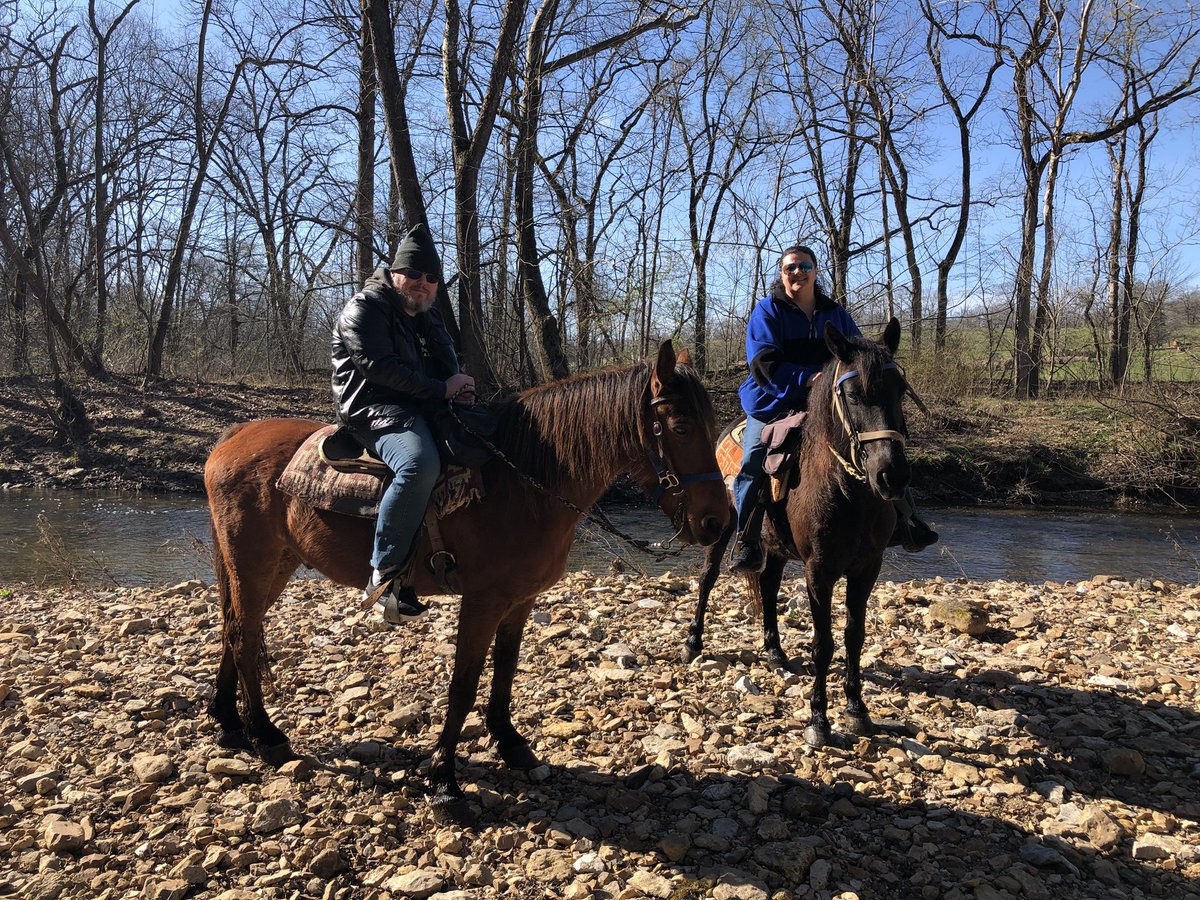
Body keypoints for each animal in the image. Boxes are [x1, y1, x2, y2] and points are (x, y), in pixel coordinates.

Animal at [202, 340, 724, 820]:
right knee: (243, 636)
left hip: (274, 565)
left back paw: (229, 722)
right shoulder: (482, 602)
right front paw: (444, 779)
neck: (523, 483)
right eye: (680, 427)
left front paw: (511, 744)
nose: (717, 522)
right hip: (252, 563)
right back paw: (266, 734)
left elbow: (505, 671)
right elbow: (464, 684)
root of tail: (233, 435)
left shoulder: (520, 601)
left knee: (234, 630)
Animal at [686, 321, 907, 748]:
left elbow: (854, 636)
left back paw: (774, 651)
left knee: (768, 586)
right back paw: (693, 642)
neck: (846, 491)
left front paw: (857, 710)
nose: (891, 475)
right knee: (707, 579)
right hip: (722, 528)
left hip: (772, 547)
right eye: (853, 395)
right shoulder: (818, 571)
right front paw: (819, 720)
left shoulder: (867, 568)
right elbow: (824, 645)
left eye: (900, 390)